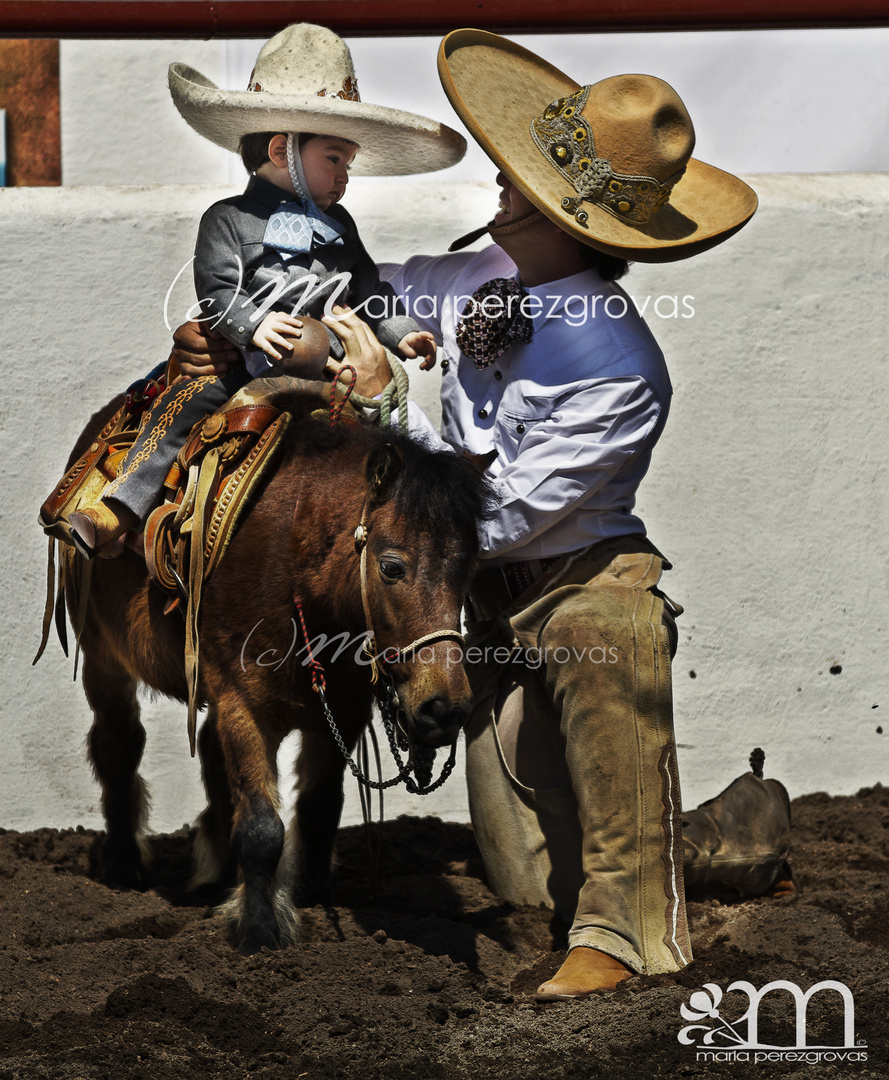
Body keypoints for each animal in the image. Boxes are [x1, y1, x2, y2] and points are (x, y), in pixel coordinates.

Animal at [60, 388, 486, 954]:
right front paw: (261, 931)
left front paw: (309, 892)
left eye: (470, 570)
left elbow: (321, 806)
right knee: (118, 744)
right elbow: (262, 827)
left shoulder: (341, 711)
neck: (294, 564)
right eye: (392, 567)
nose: (446, 708)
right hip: (103, 658)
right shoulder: (244, 705)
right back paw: (124, 866)